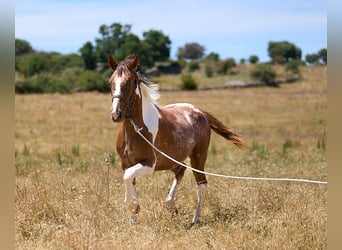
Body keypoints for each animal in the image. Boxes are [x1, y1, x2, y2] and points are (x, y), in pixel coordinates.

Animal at [107, 53, 243, 224]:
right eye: (110, 82)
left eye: (129, 81)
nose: (116, 114)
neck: (135, 130)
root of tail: (200, 112)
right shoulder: (126, 163)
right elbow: (129, 181)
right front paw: (133, 219)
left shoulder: (149, 164)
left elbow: (127, 178)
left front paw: (135, 207)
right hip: (172, 160)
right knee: (181, 169)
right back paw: (172, 206)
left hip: (198, 158)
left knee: (201, 184)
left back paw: (195, 219)